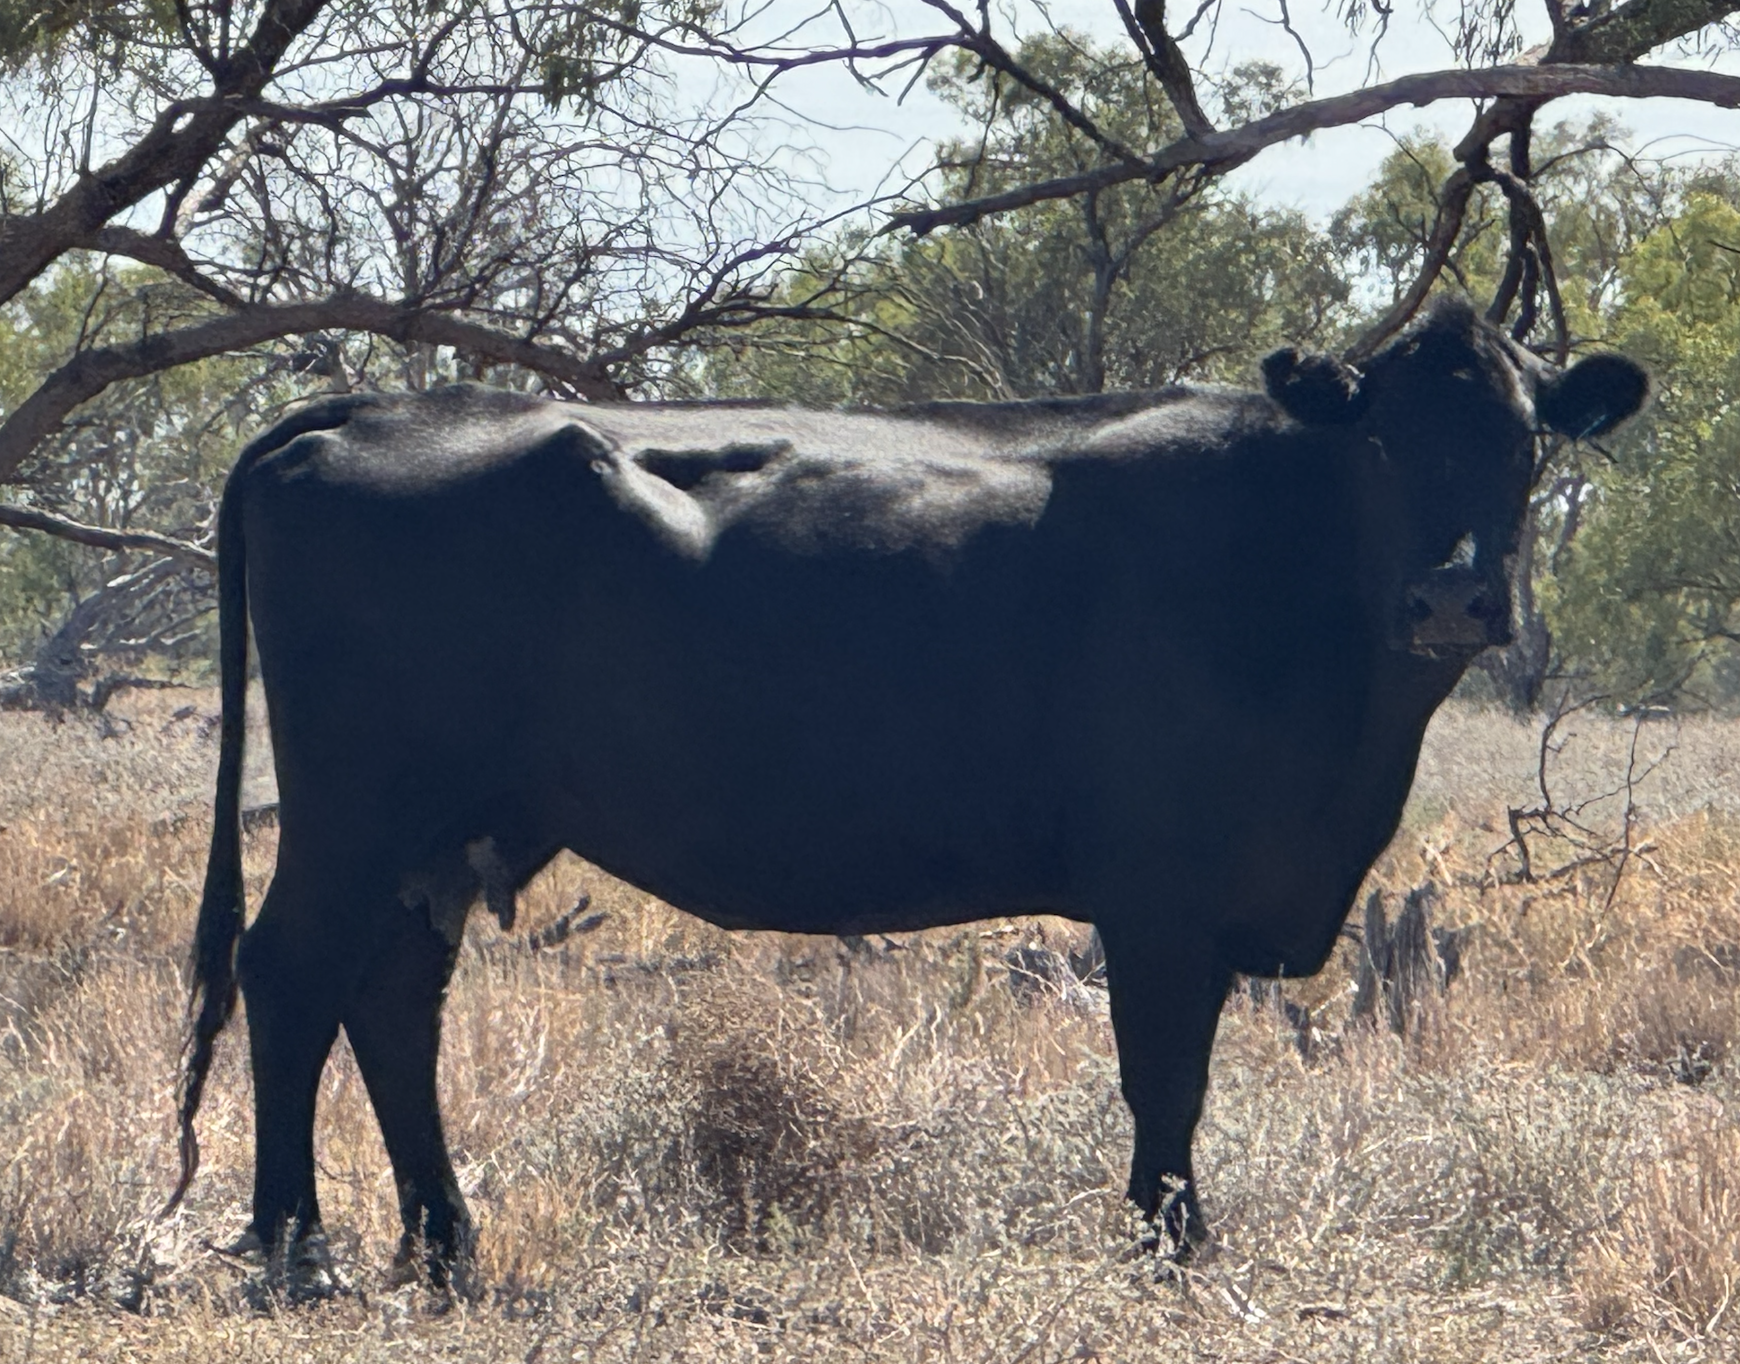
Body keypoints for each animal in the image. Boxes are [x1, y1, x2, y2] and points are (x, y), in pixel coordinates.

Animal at [168, 301, 1647, 1287]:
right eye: (1385, 442)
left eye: (1525, 443)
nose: (1454, 594)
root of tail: (376, 407)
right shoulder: (1160, 896)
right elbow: (1165, 1078)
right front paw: (1170, 1246)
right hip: (356, 811)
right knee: (291, 972)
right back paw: (295, 1245)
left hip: (439, 830)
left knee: (390, 999)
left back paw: (444, 1242)